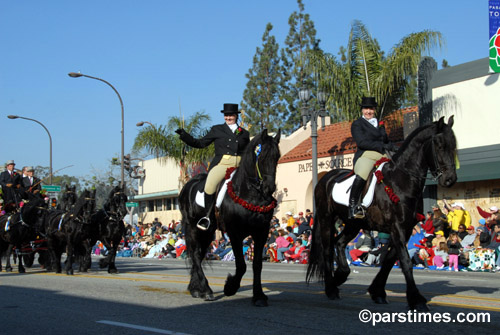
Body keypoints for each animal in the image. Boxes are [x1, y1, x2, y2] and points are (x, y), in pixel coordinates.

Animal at [180, 129, 282, 308]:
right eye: (262, 156)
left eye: (277, 156)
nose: (269, 188)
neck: (251, 195)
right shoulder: (235, 233)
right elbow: (241, 265)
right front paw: (230, 287)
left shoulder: (261, 232)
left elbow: (257, 264)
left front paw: (259, 296)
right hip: (192, 227)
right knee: (195, 254)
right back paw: (206, 290)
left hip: (208, 232)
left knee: (198, 254)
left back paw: (196, 289)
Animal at [304, 116, 458, 312]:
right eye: (439, 144)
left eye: (453, 144)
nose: (450, 179)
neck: (401, 180)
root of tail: (324, 178)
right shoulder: (397, 227)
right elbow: (405, 261)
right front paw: (416, 299)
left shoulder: (405, 229)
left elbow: (390, 260)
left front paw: (377, 292)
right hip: (326, 218)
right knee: (327, 250)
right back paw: (331, 288)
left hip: (354, 224)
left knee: (339, 243)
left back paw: (341, 275)